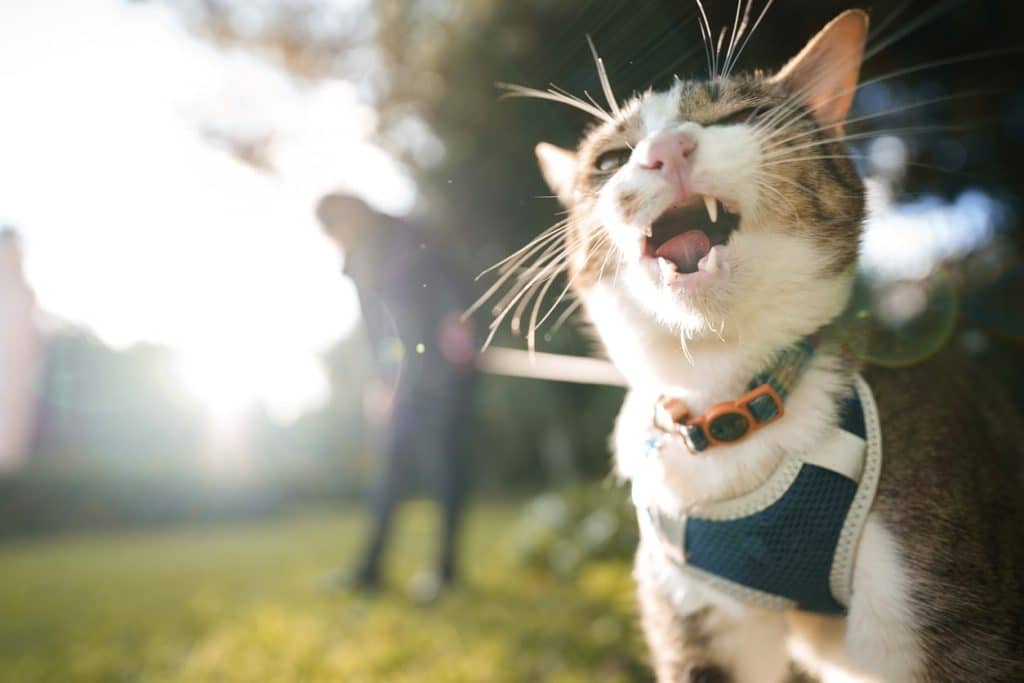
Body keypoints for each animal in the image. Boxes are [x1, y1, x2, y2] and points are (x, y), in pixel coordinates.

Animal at [516, 6, 1024, 683]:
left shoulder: (938, 588)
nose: (663, 150)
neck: (730, 406)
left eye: (737, 116)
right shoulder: (695, 609)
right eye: (611, 159)